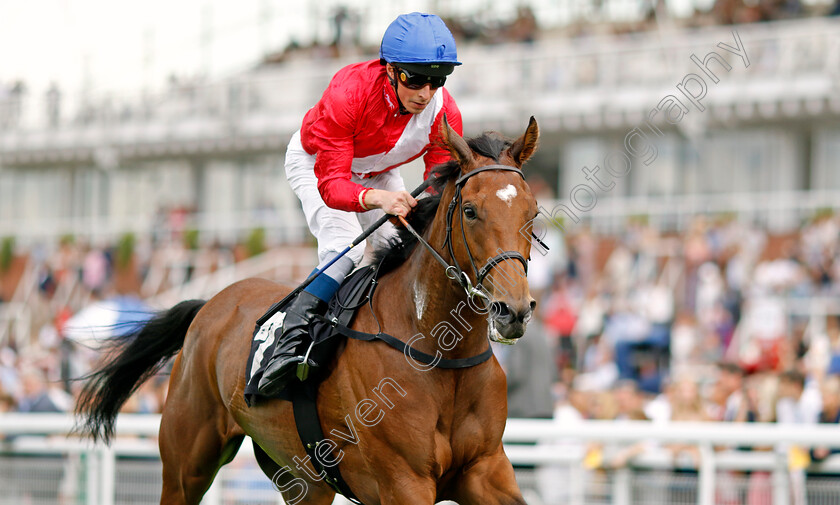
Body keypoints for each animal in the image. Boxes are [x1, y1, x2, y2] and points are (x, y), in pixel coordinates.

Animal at [77, 118, 540, 504]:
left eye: (532, 212)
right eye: (470, 211)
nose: (513, 310)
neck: (440, 355)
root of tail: (210, 303)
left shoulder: (486, 469)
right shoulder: (403, 481)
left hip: (301, 478)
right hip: (186, 462)